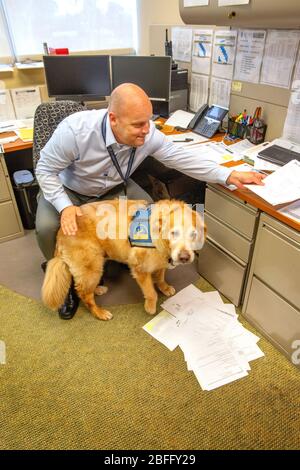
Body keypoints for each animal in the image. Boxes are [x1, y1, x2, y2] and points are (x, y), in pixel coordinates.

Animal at [42, 198, 206, 320]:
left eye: (193, 234)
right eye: (174, 233)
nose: (184, 257)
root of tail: (60, 231)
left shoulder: (160, 262)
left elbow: (160, 277)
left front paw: (164, 287)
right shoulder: (139, 268)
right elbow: (151, 293)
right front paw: (150, 307)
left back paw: (98, 289)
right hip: (92, 266)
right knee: (83, 293)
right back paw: (99, 312)